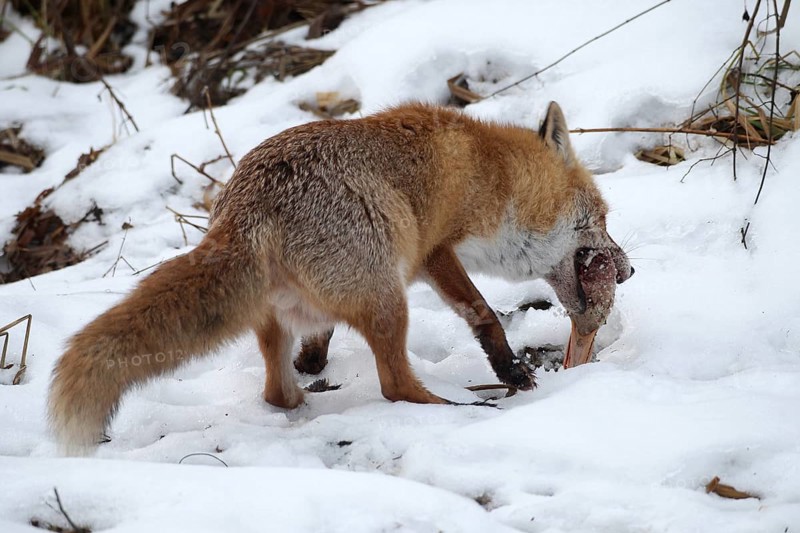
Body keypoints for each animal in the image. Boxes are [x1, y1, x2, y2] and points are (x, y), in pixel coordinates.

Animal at [48, 101, 633, 454]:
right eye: (603, 219)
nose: (628, 270)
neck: (492, 176)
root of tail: (241, 208)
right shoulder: (434, 250)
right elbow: (483, 312)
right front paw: (510, 370)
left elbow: (321, 336)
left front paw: (316, 359)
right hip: (389, 299)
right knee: (394, 385)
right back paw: (458, 408)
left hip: (279, 318)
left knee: (277, 394)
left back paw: (309, 400)